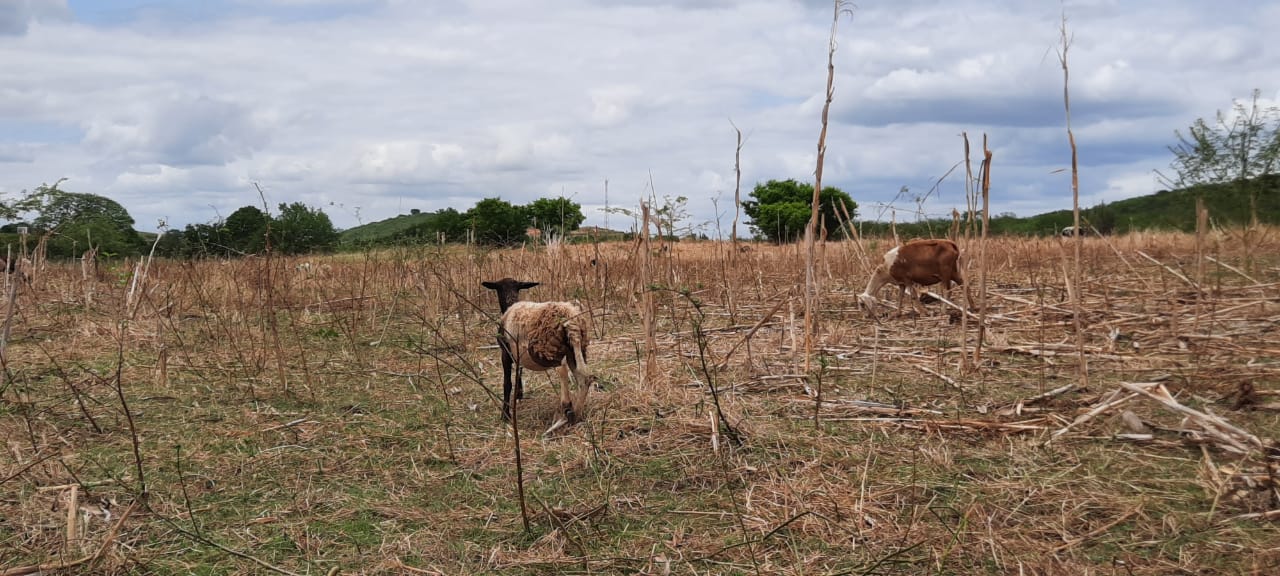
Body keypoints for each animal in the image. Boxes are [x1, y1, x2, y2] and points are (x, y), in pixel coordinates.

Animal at [481, 277, 596, 432]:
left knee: (562, 369)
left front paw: (505, 415)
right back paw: (576, 414)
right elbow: (518, 373)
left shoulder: (505, 352)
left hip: (549, 347)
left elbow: (507, 383)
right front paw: (519, 394)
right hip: (576, 349)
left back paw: (567, 406)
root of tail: (569, 319)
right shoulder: (518, 355)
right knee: (584, 377)